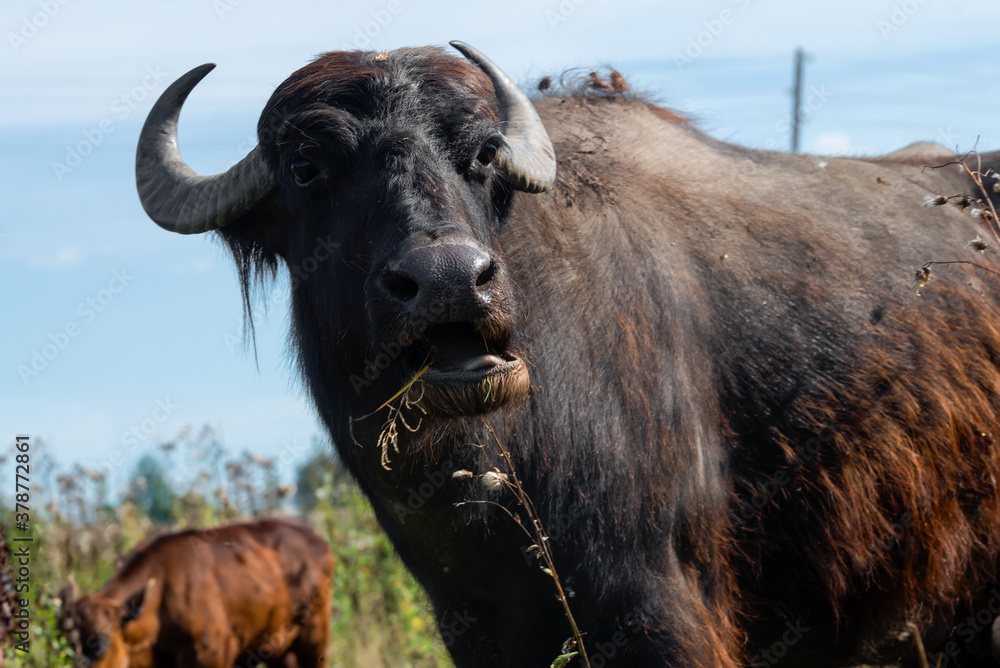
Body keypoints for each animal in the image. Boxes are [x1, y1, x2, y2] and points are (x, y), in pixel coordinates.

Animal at [59, 518, 332, 667]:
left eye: (98, 644)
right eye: (65, 643)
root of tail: (316, 539)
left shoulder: (213, 655)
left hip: (313, 640)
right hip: (280, 650)